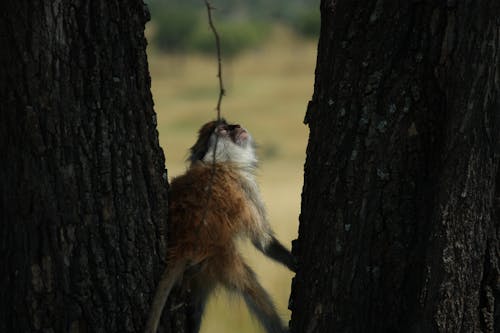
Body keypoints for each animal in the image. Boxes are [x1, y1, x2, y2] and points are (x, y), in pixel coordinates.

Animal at [143, 119, 294, 332]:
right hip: (221, 257)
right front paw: (294, 261)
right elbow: (262, 242)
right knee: (251, 287)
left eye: (228, 124)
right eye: (223, 130)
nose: (237, 126)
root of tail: (183, 244)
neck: (221, 162)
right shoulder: (245, 186)